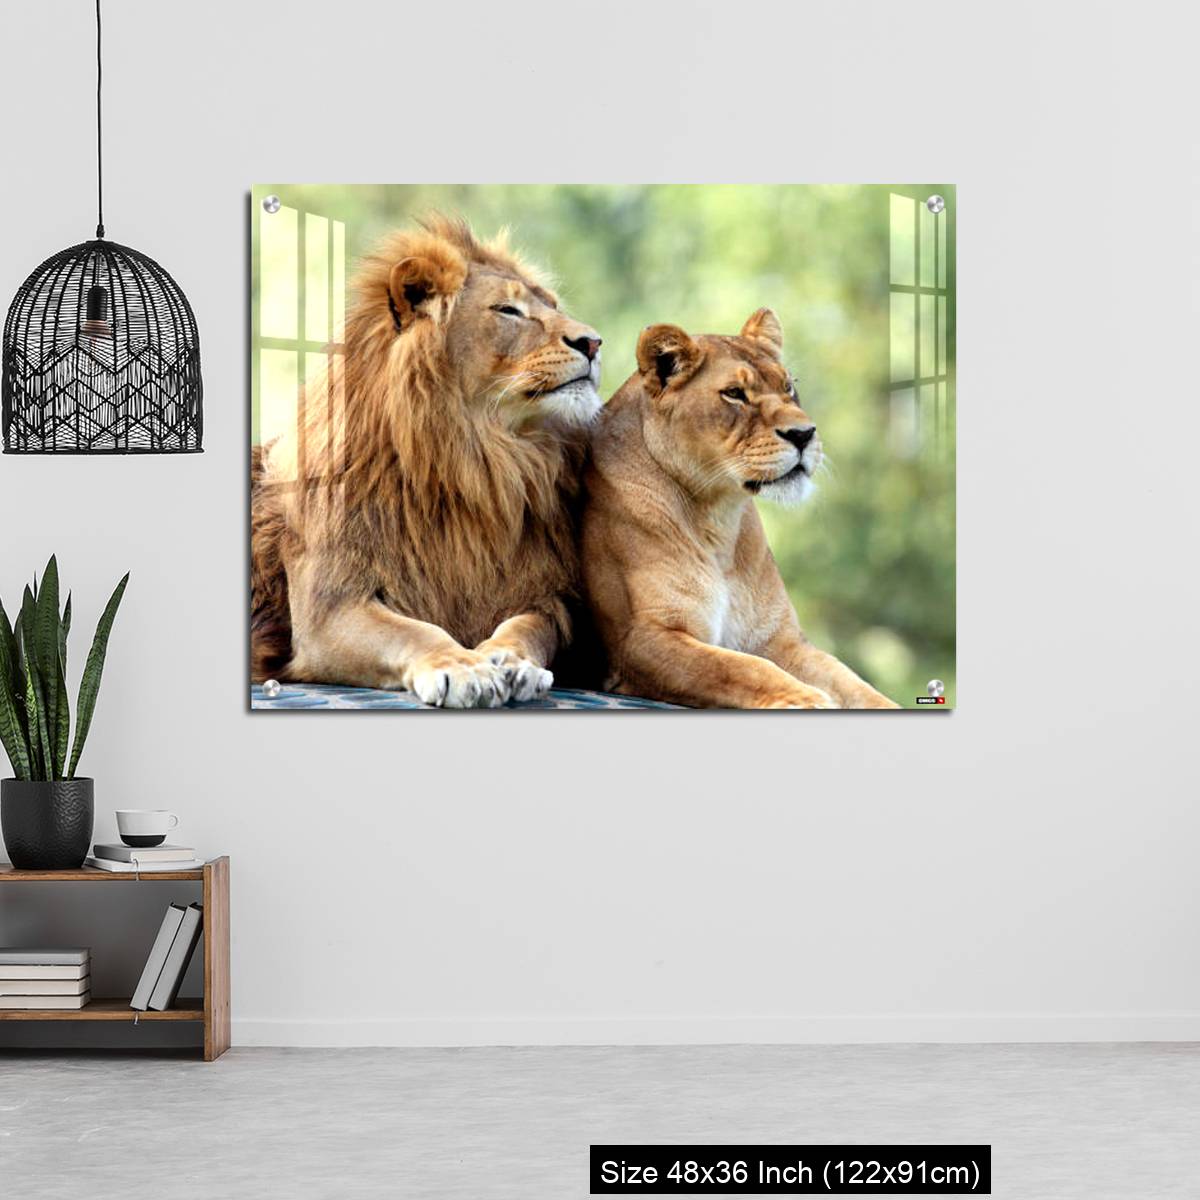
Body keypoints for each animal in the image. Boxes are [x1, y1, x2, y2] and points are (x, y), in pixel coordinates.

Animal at [251, 216, 603, 707]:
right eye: (508, 311)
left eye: (552, 305)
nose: (593, 342)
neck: (477, 461)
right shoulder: (328, 610)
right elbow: (414, 632)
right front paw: (461, 667)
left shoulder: (546, 597)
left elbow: (528, 628)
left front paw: (512, 661)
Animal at [581, 309, 899, 709]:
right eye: (734, 394)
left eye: (788, 387)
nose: (804, 434)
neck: (717, 518)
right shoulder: (641, 640)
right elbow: (740, 668)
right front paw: (807, 698)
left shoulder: (779, 638)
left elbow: (850, 681)